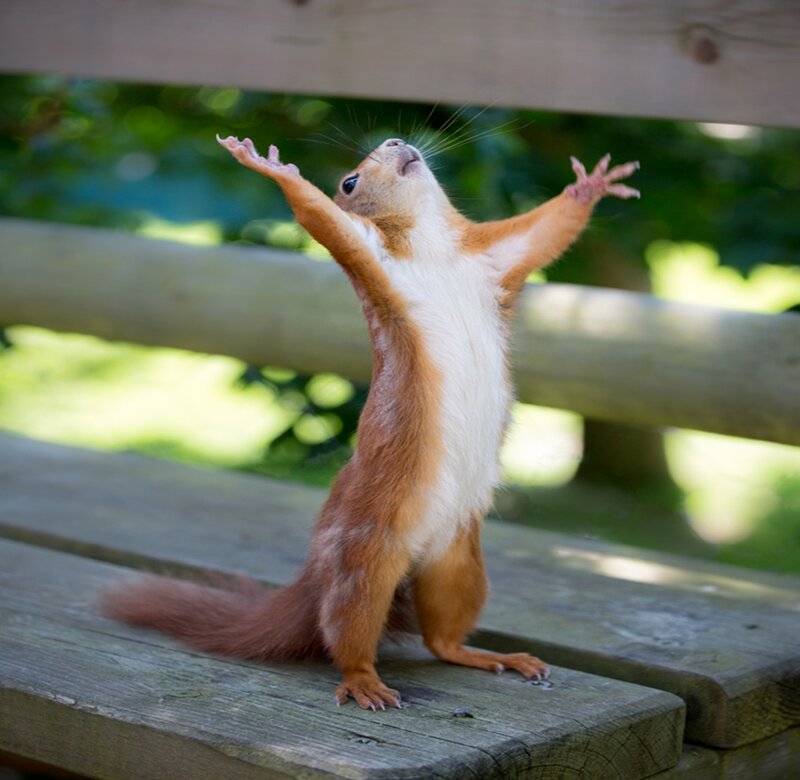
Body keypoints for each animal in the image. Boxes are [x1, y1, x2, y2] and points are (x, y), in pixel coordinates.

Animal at [102, 133, 639, 710]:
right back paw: (364, 681)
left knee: (442, 638)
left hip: (459, 562)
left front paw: (589, 186)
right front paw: (273, 168)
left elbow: (546, 231)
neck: (431, 244)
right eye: (349, 182)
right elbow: (321, 219)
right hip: (365, 559)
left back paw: (491, 656)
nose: (396, 140)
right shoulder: (371, 256)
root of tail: (316, 571)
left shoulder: (495, 258)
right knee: (348, 630)